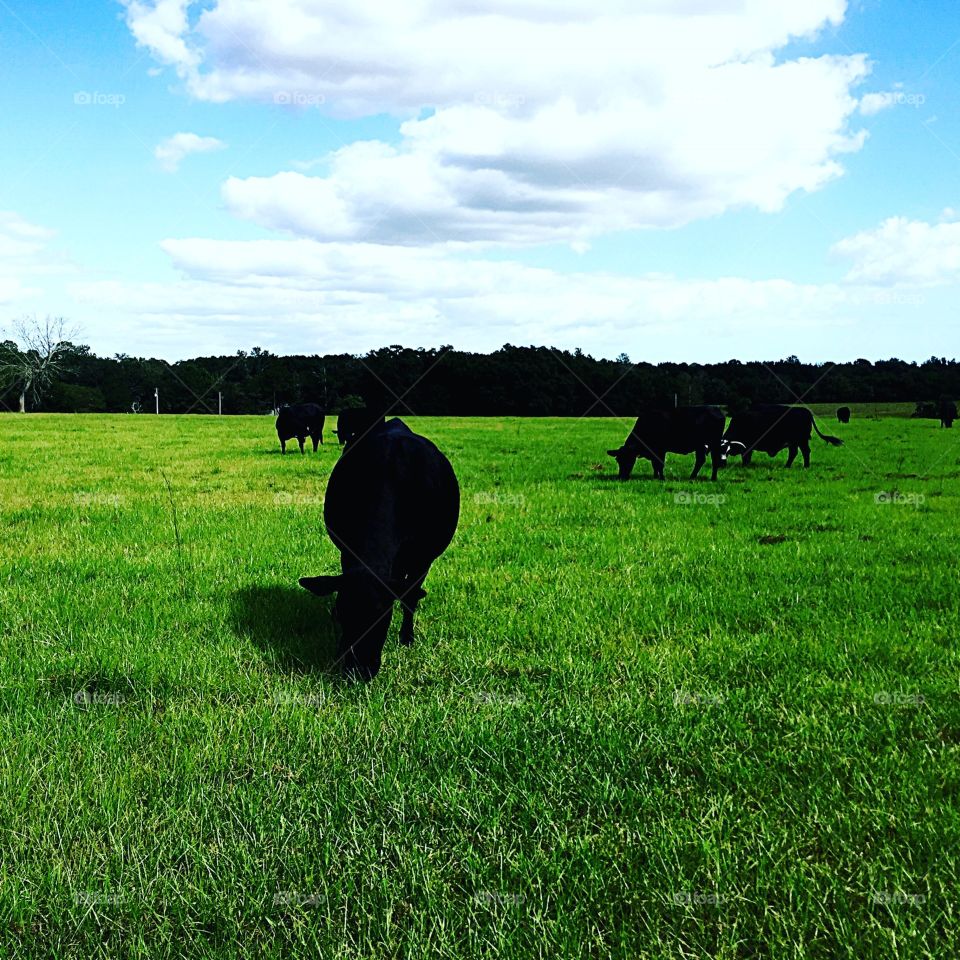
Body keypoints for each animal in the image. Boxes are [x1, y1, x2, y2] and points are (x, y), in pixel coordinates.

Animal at [299, 418, 460, 680]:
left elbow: (409, 598)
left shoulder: (422, 559)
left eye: (383, 616)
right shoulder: (347, 552)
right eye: (343, 613)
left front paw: (407, 637)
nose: (358, 671)